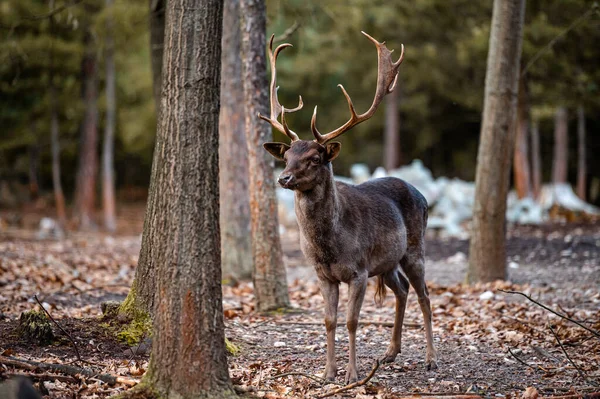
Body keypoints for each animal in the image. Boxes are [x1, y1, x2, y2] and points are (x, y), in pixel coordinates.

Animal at [260, 32, 438, 384]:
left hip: (414, 247)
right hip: (387, 262)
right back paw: (390, 353)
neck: (330, 244)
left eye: (315, 158)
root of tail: (422, 194)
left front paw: (352, 375)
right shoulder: (323, 274)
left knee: (424, 295)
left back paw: (430, 359)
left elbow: (352, 322)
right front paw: (328, 372)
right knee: (402, 290)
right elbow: (329, 321)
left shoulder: (358, 271)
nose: (284, 178)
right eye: (286, 156)